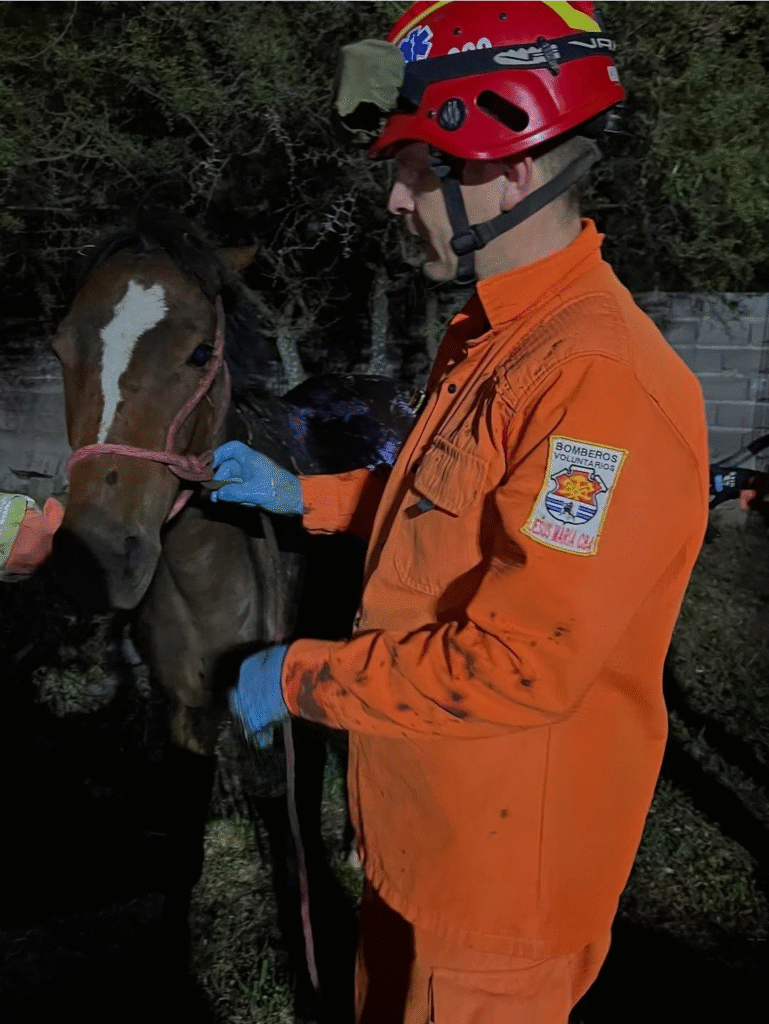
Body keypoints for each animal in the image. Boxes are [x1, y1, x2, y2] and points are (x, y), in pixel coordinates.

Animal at [50, 204, 418, 1020]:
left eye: (196, 353)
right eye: (61, 347)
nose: (96, 555)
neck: (204, 569)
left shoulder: (284, 703)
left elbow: (294, 835)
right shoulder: (184, 713)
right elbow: (184, 850)